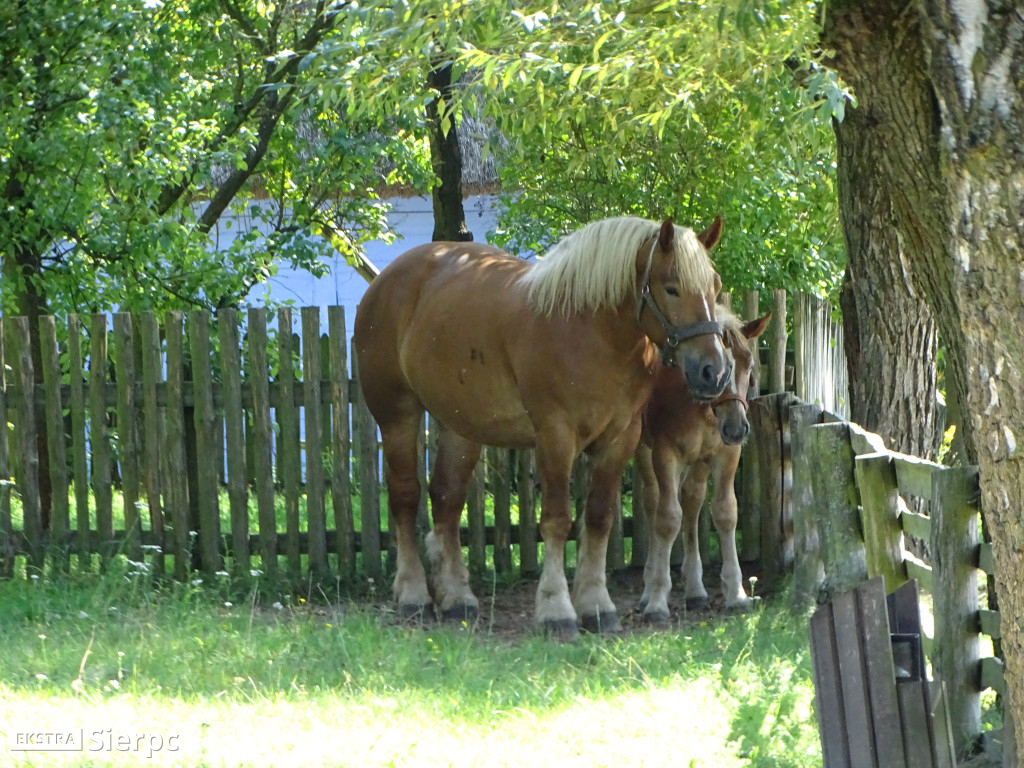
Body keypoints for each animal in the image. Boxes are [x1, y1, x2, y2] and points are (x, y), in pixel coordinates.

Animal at [356, 215, 733, 638]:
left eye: (715, 284)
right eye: (671, 287)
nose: (713, 371)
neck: (592, 330)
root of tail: (386, 280)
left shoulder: (621, 437)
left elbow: (599, 518)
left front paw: (597, 605)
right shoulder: (556, 434)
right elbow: (556, 520)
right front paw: (557, 609)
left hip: (460, 425)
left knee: (447, 499)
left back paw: (457, 598)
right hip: (396, 413)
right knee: (405, 496)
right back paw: (413, 594)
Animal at [634, 303, 770, 622]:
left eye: (749, 365)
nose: (736, 428)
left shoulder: (725, 454)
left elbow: (725, 512)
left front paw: (736, 593)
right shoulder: (665, 453)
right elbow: (667, 519)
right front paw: (657, 600)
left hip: (699, 462)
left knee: (692, 501)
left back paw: (695, 589)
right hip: (645, 451)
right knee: (653, 502)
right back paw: (649, 587)